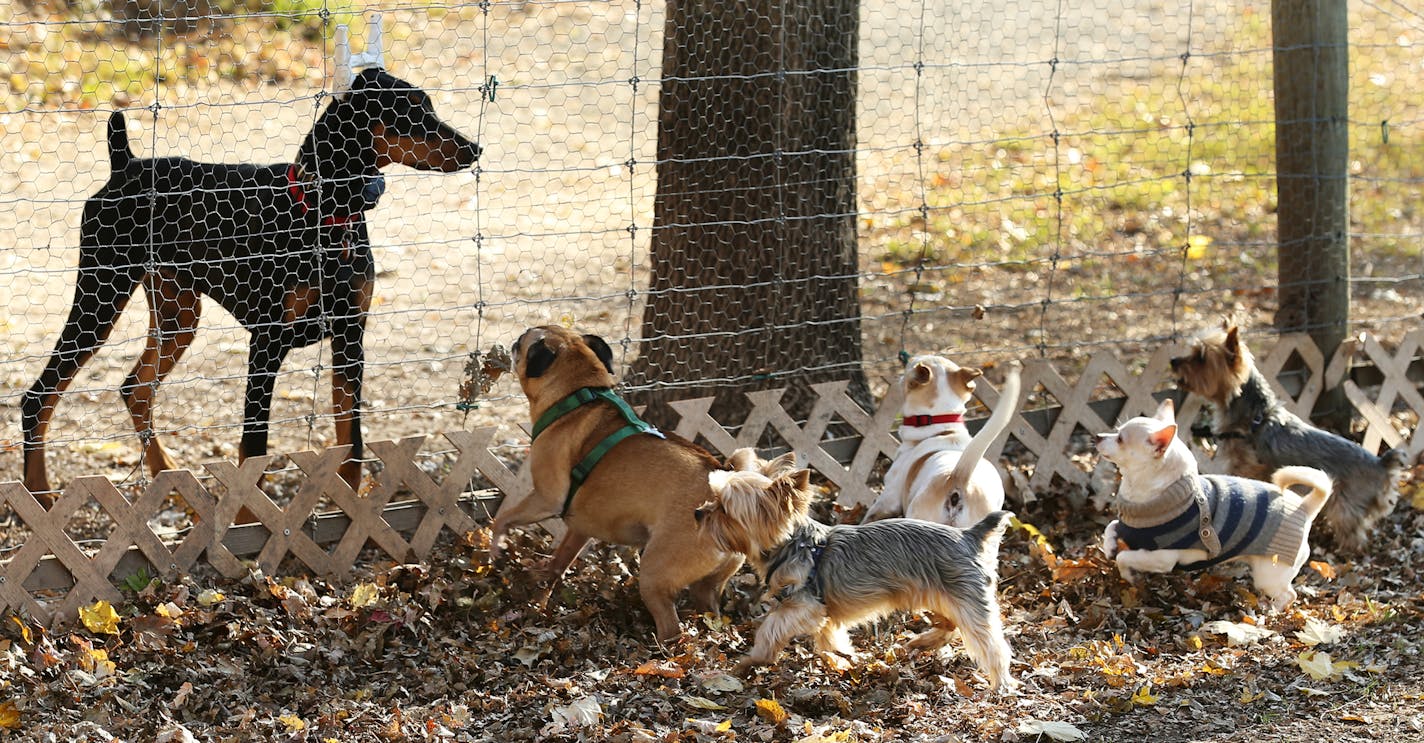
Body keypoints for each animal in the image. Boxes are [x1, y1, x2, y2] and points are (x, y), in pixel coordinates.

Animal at [20, 67, 484, 498]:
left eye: (429, 106)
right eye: (410, 113)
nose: (475, 148)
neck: (323, 215)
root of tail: (126, 164)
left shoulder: (350, 339)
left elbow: (351, 442)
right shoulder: (266, 343)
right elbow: (253, 450)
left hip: (178, 315)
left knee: (134, 388)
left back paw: (168, 473)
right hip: (100, 298)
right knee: (39, 397)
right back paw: (40, 495)